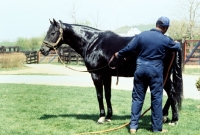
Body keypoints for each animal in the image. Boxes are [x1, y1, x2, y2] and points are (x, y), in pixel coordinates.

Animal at [39, 18, 183, 124]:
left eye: (52, 33)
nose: (42, 50)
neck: (92, 42)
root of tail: (173, 43)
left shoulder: (96, 74)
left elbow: (99, 95)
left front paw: (101, 117)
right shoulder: (107, 75)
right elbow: (108, 94)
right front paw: (109, 116)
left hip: (162, 74)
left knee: (172, 92)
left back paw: (174, 120)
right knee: (171, 93)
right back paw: (165, 116)